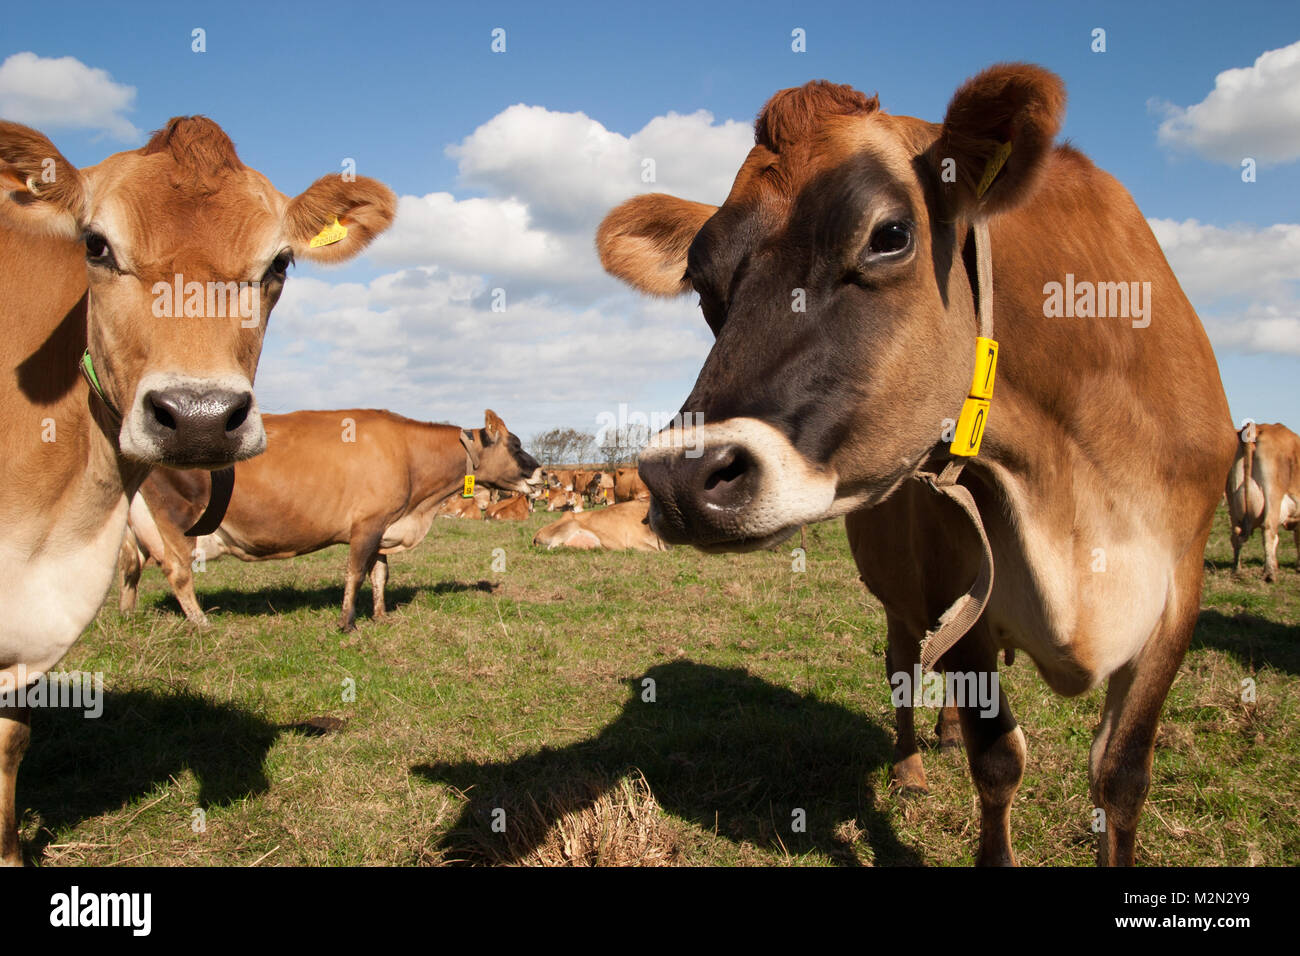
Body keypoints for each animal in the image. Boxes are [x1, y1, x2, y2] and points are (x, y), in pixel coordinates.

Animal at [119, 409, 539, 631]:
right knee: (177, 572)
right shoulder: (366, 524)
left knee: (131, 566)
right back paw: (202, 623)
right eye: (516, 444)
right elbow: (355, 574)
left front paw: (380, 616)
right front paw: (347, 622)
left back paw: (127, 615)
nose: (541, 473)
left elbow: (380, 574)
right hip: (177, 521)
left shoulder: (383, 524)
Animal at [596, 65, 1235, 866]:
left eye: (890, 235)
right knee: (903, 669)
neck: (1068, 484)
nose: (682, 479)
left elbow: (1121, 775)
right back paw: (911, 767)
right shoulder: (950, 576)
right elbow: (998, 760)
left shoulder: (1179, 588)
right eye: (704, 284)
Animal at [1226, 421, 1300, 581]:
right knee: (1268, 528)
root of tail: (1256, 428)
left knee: (1235, 534)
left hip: (1232, 500)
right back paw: (1269, 573)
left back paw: (1237, 570)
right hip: (1273, 494)